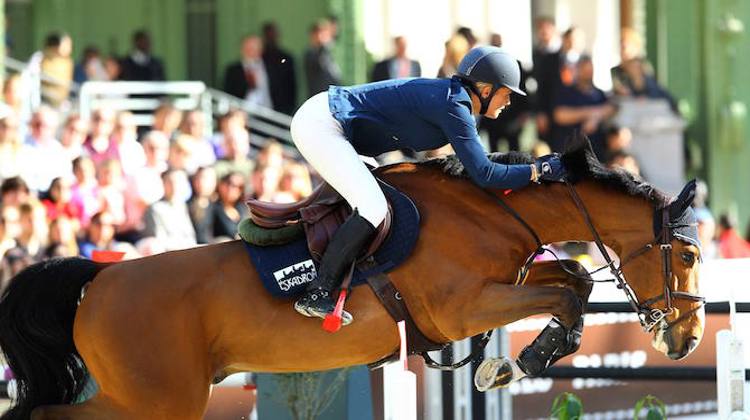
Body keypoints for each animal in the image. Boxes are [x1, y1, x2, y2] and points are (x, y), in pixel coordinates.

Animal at [0, 135, 704, 420]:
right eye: (690, 257)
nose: (688, 339)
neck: (491, 207)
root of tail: (97, 281)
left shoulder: (501, 285)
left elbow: (572, 274)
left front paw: (515, 360)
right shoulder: (464, 307)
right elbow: (567, 286)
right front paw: (521, 360)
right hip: (155, 399)